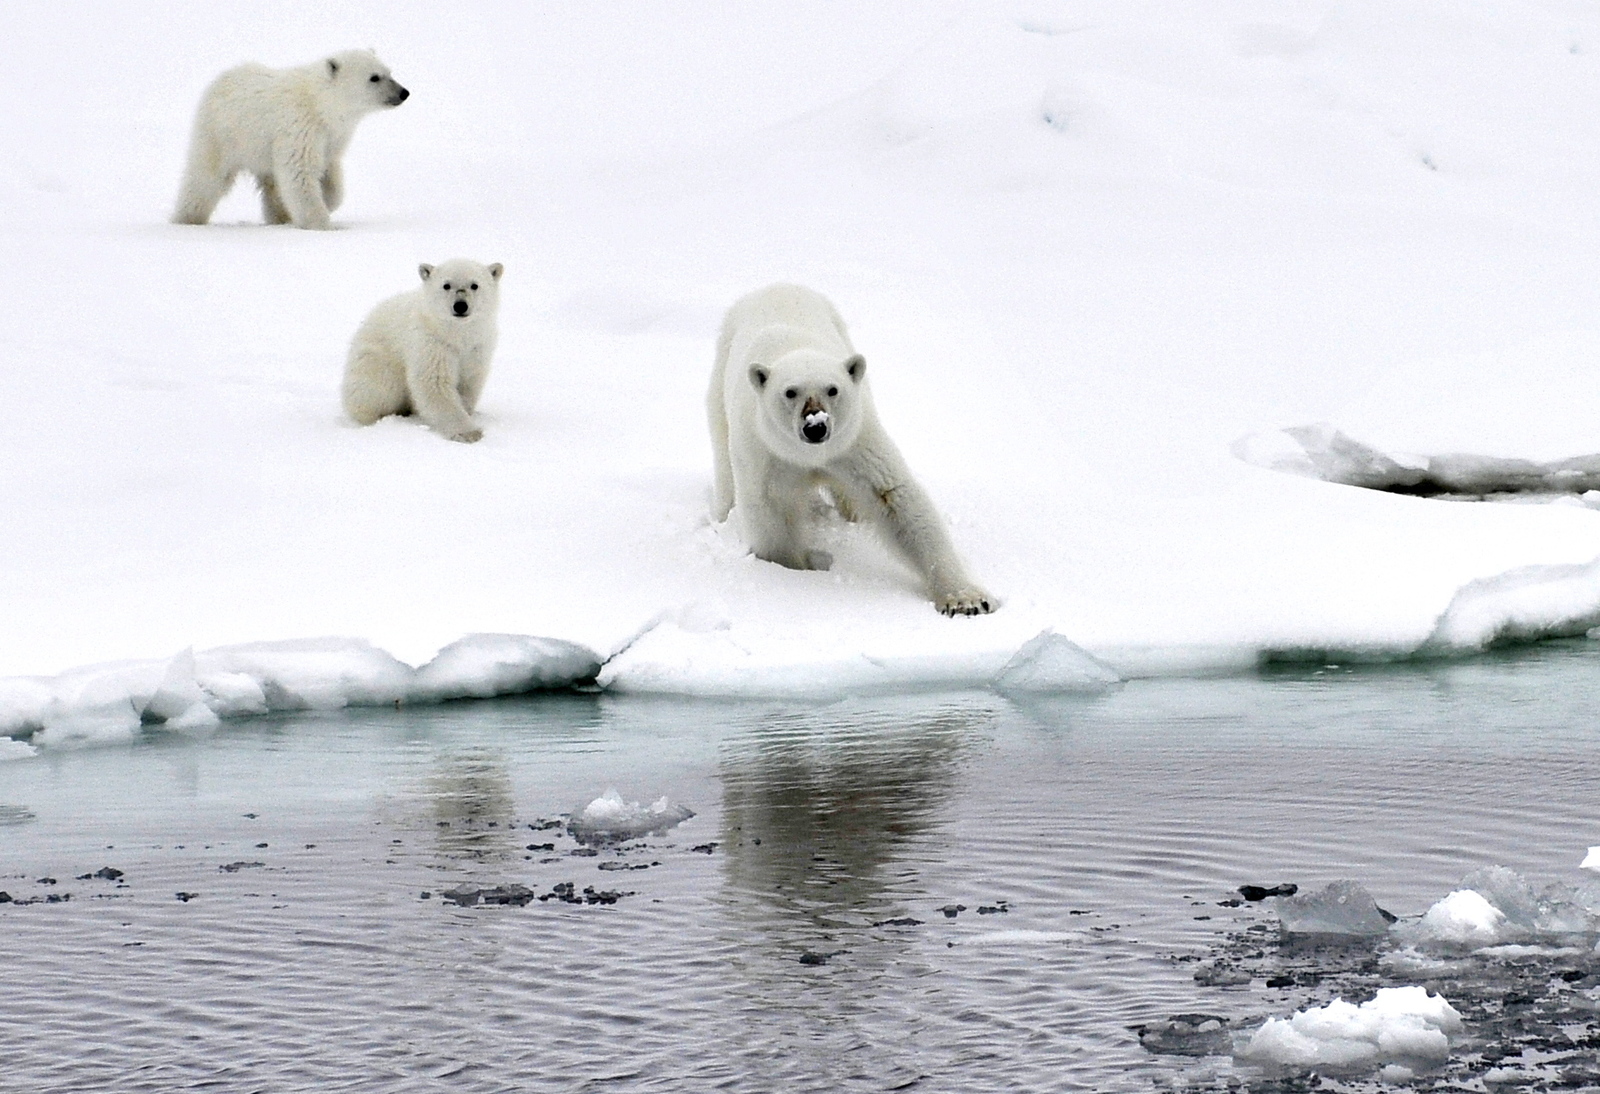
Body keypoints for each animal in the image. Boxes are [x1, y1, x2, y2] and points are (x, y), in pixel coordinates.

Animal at [172, 50, 409, 228]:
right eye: (374, 77)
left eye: (390, 71)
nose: (404, 92)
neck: (320, 103)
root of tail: (219, 80)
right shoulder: (300, 127)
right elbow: (300, 172)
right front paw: (320, 223)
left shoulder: (331, 136)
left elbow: (331, 174)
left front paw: (326, 201)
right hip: (221, 134)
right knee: (205, 179)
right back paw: (187, 218)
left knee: (271, 184)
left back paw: (279, 216)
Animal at [710, 284, 992, 614]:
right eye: (790, 392)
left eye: (833, 389)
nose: (816, 426)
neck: (809, 455)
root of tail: (777, 286)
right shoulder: (766, 453)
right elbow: (771, 511)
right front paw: (794, 573)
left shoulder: (853, 442)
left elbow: (895, 499)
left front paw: (967, 600)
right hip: (720, 378)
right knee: (724, 461)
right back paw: (724, 511)